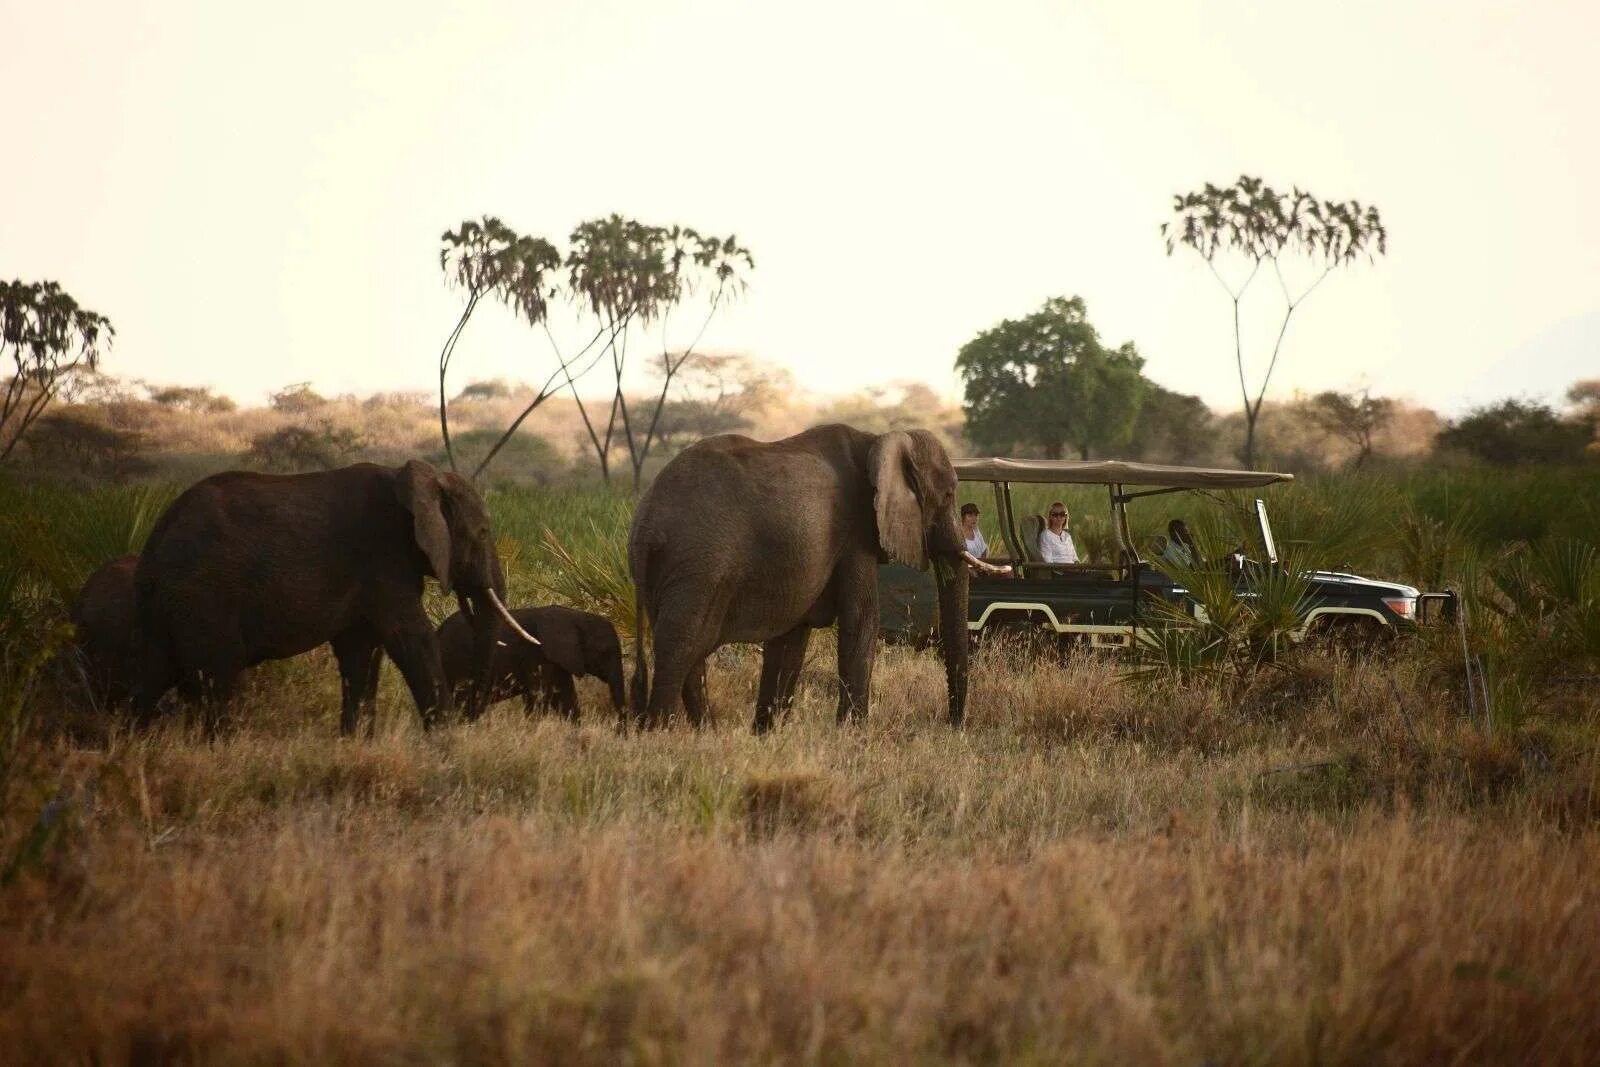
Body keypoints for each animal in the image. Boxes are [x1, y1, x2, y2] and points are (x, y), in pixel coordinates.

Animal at [131, 460, 531, 735]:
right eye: (483, 532)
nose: (470, 715)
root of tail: (160, 533)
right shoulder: (383, 556)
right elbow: (410, 639)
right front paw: (447, 742)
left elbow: (361, 650)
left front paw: (356, 743)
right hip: (204, 595)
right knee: (218, 676)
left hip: (163, 602)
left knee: (150, 676)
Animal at [444, 604, 630, 723]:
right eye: (605, 653)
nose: (621, 735)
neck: (575, 617)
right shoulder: (538, 656)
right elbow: (539, 699)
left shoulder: (558, 659)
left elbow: (566, 699)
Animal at [630, 425, 966, 735]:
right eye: (949, 494)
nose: (952, 725)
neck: (877, 439)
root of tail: (647, 523)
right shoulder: (856, 531)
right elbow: (861, 620)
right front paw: (851, 738)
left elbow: (791, 638)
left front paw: (766, 736)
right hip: (700, 564)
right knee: (682, 645)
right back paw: (661, 734)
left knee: (690, 651)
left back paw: (706, 734)